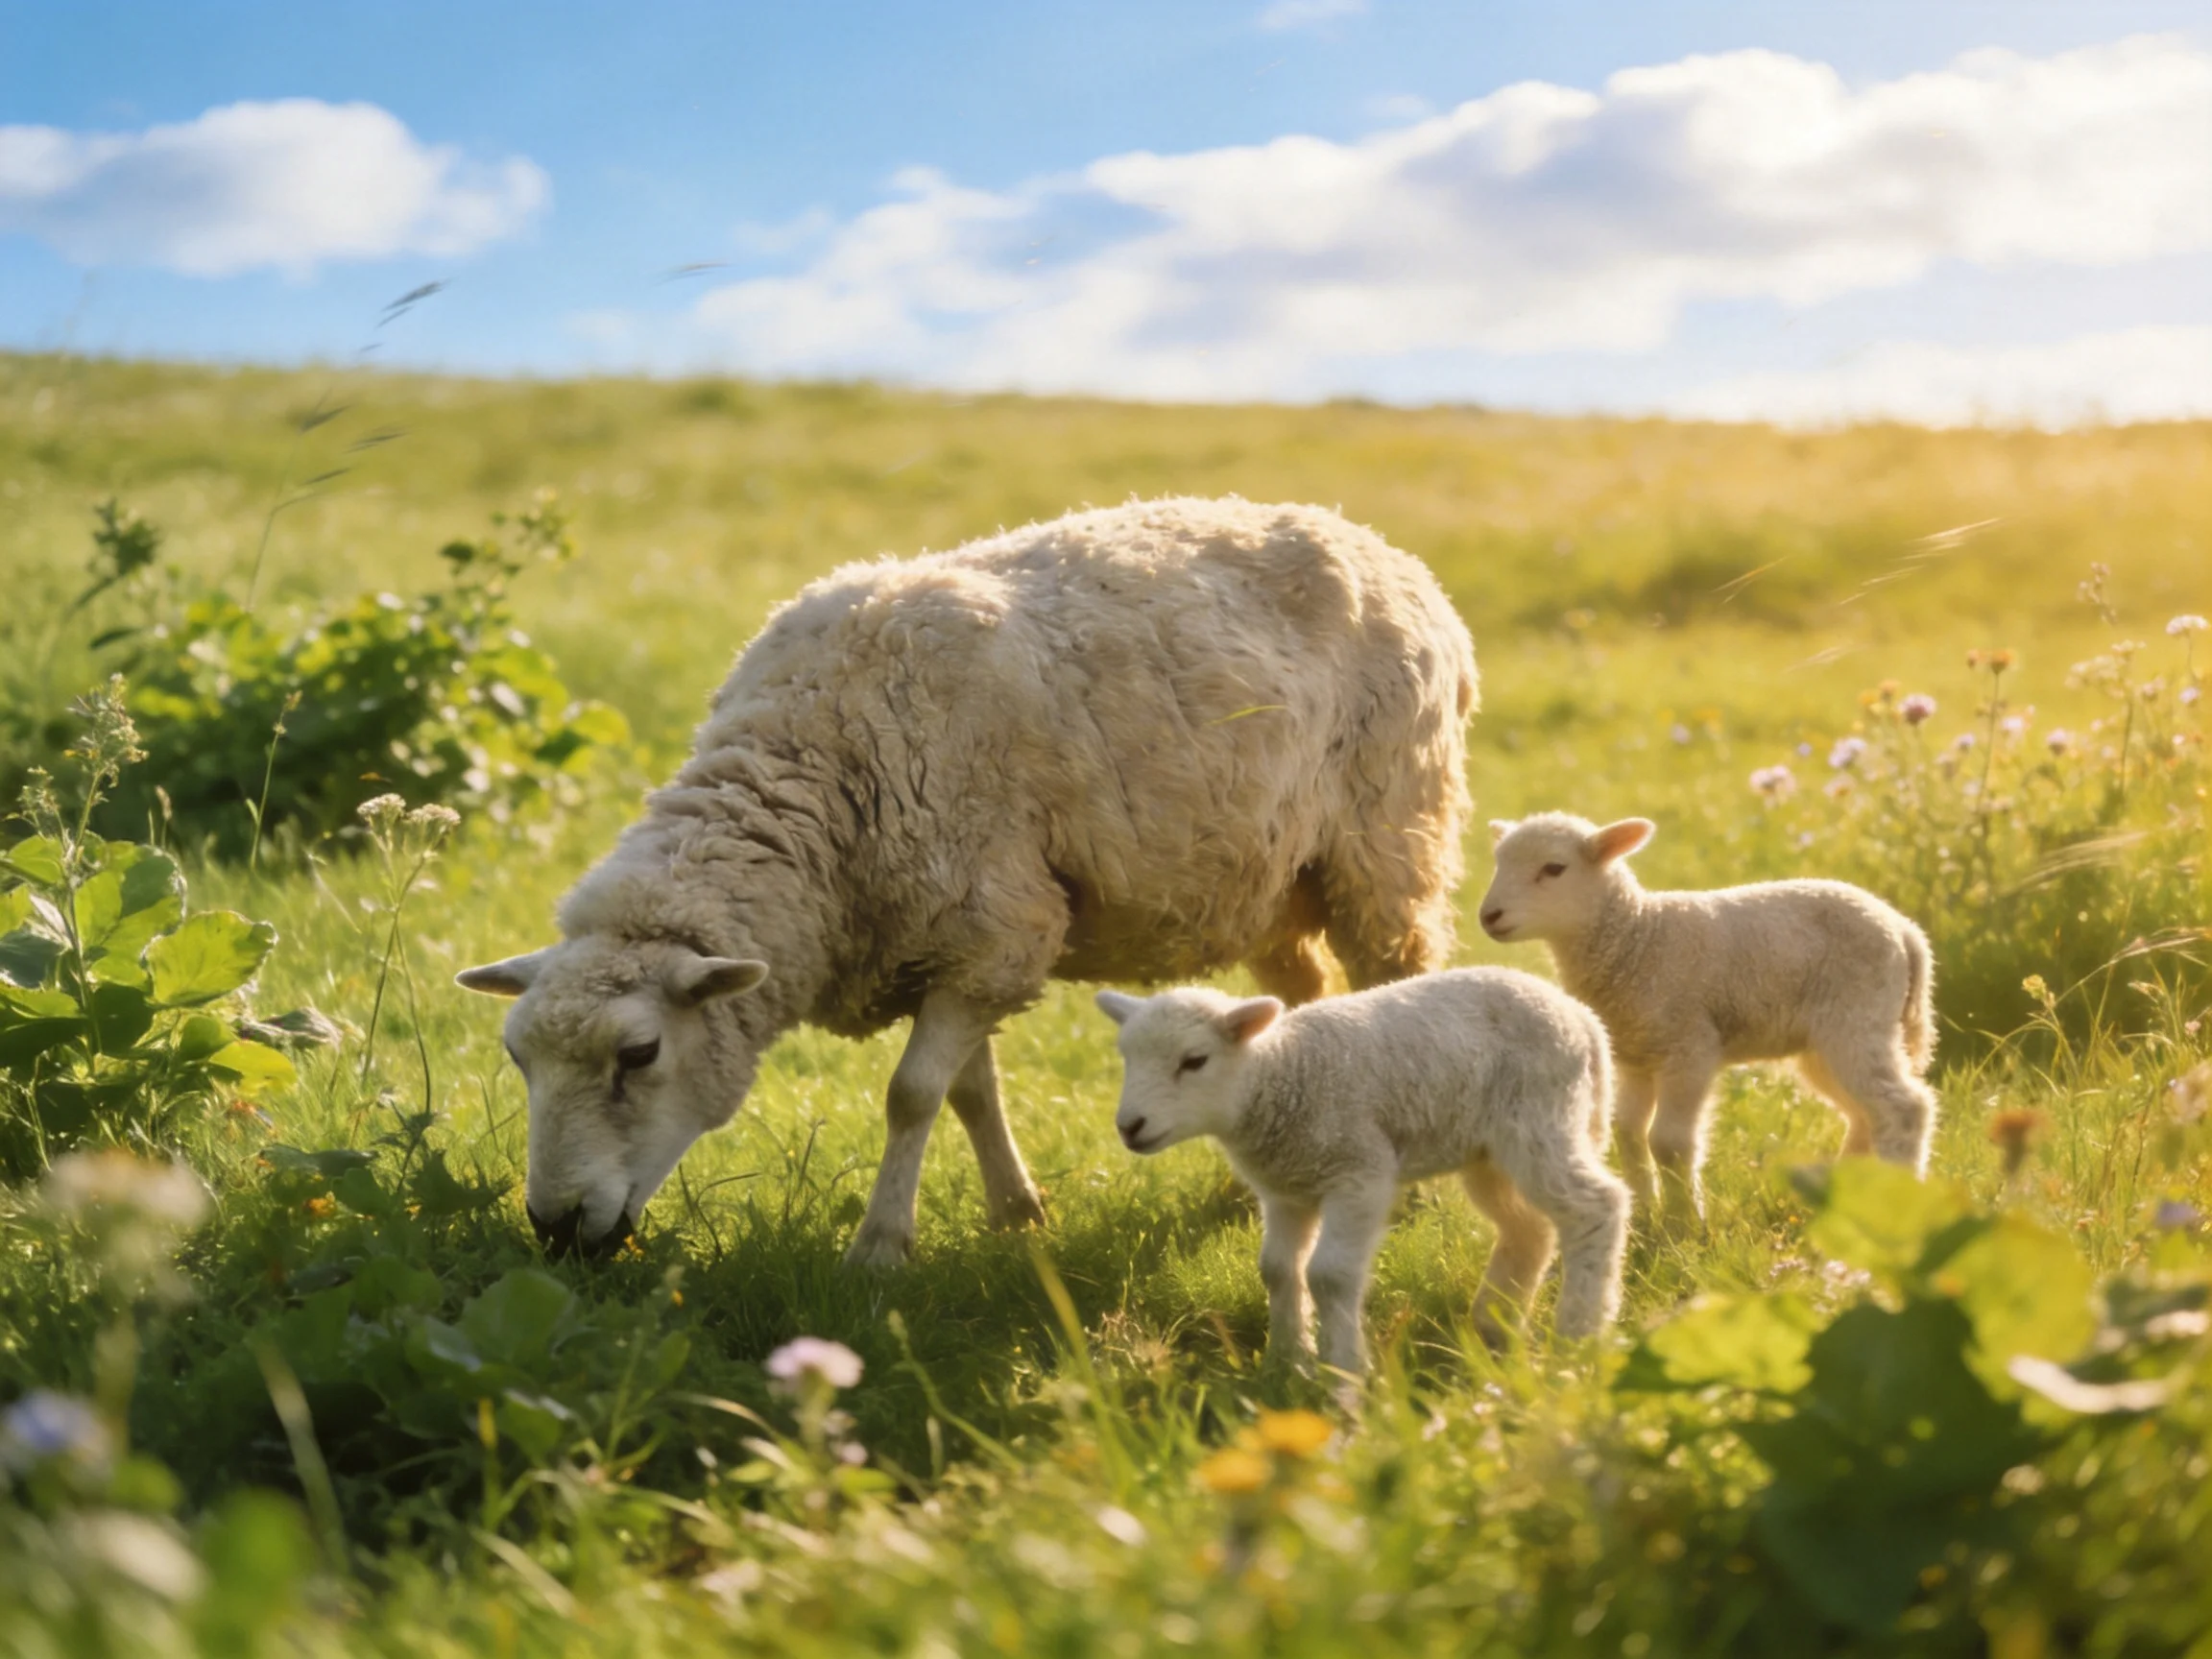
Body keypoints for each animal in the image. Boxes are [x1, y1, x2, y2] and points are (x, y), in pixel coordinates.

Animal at [458, 497, 1478, 1263]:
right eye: (517, 1058)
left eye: (638, 1055)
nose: (554, 1232)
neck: (816, 771)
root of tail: (1386, 549)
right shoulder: (945, 939)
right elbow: (966, 1090)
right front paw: (1017, 1214)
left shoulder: (998, 926)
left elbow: (911, 1094)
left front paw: (880, 1249)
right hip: (1275, 876)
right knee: (1303, 991)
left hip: (1387, 840)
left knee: (1395, 977)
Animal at [1096, 968, 1631, 1378]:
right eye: (1125, 1057)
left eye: (1194, 1061)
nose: (1129, 1127)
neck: (1281, 1074)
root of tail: (1585, 1019)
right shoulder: (1285, 1192)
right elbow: (1277, 1270)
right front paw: (1287, 1360)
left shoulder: (1358, 1175)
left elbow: (1329, 1275)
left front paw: (1344, 1369)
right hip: (1489, 1151)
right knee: (1531, 1226)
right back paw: (1495, 1323)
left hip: (1540, 1118)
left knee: (1595, 1206)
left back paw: (1579, 1334)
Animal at [1479, 813, 1937, 1225]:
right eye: (1497, 862)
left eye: (1554, 868)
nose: (1489, 916)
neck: (1638, 939)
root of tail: (1906, 931)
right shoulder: (1636, 1057)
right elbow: (1629, 1133)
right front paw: (1644, 1214)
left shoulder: (1691, 1048)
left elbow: (1668, 1141)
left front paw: (1685, 1222)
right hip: (1826, 1043)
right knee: (1864, 1115)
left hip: (1858, 1019)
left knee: (1904, 1108)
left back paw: (1899, 1198)